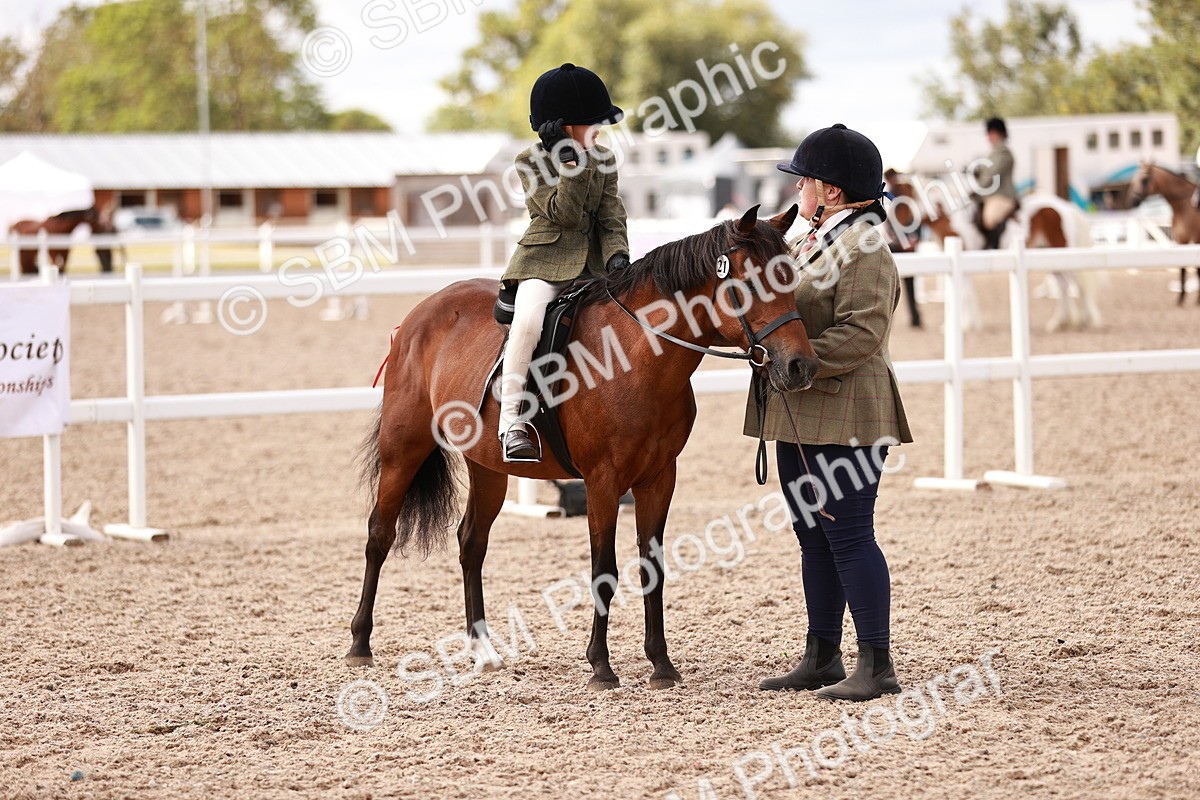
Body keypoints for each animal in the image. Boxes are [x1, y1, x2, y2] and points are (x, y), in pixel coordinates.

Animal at [348, 205, 818, 691]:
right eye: (753, 282)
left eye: (791, 278)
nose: (801, 366)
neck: (635, 356)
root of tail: (423, 311)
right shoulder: (603, 481)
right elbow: (604, 571)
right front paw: (601, 667)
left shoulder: (659, 478)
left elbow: (653, 567)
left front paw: (661, 664)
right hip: (403, 448)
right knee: (379, 534)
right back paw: (360, 644)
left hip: (488, 468)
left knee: (471, 543)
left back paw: (484, 650)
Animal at [924, 194, 1101, 332]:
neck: (946, 216)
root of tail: (1067, 207)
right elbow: (967, 294)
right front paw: (969, 325)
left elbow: (964, 295)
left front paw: (965, 326)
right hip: (1052, 256)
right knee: (1063, 286)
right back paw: (1059, 322)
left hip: (1063, 253)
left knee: (1078, 284)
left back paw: (1089, 320)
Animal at [1127, 162, 1200, 305]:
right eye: (1135, 178)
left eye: (1144, 180)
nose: (1134, 200)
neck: (1184, 205)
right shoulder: (1181, 240)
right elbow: (1182, 268)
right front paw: (1180, 299)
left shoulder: (1195, 240)